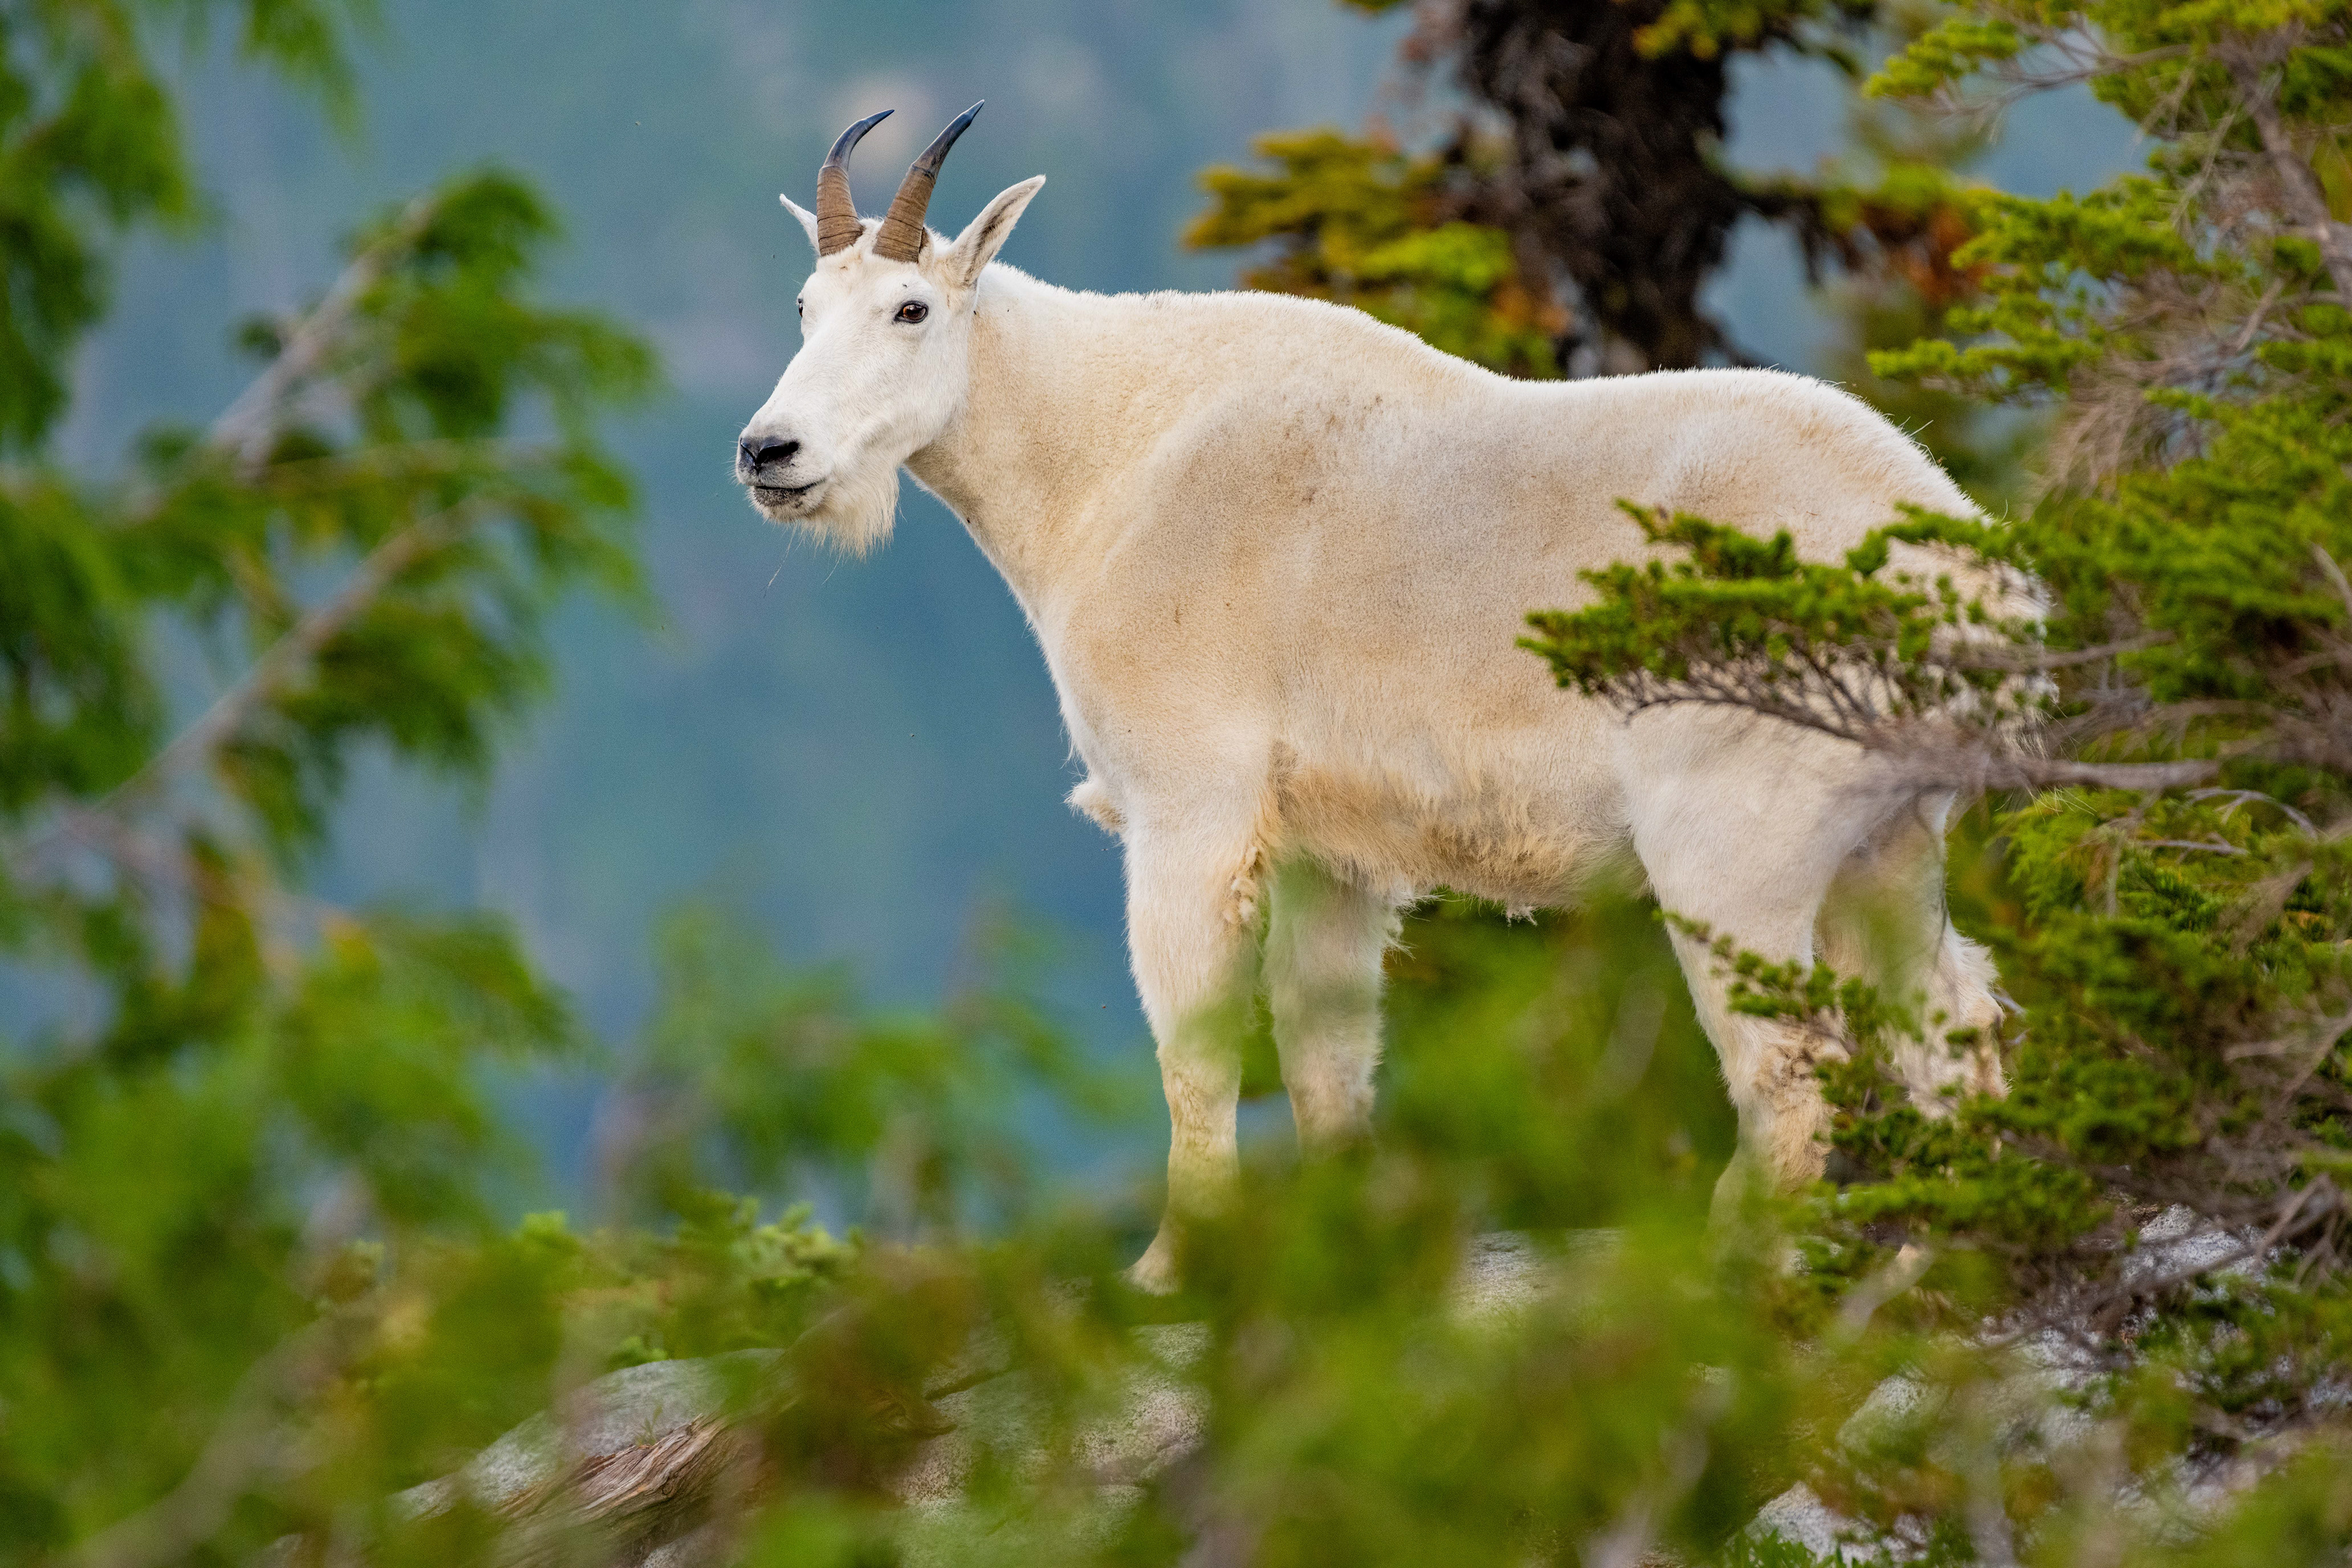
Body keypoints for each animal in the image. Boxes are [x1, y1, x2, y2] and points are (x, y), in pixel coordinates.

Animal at [735, 106, 2007, 1291]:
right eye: (801, 306)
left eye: (912, 310)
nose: (770, 452)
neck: (1105, 452)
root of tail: (1971, 574)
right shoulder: (1328, 851)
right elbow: (1326, 1051)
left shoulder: (1189, 803)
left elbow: (1195, 1045)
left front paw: (1169, 1270)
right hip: (1886, 841)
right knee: (1957, 1027)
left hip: (1738, 836)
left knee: (1789, 1070)